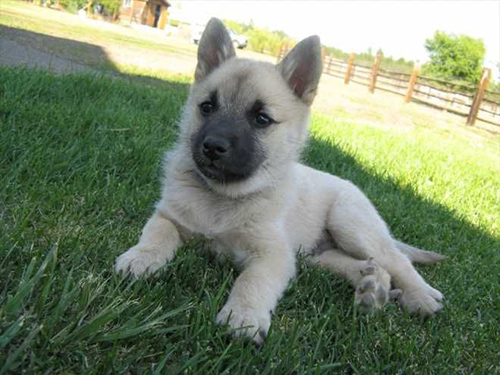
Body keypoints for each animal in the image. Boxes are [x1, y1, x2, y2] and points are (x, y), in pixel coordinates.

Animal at [117, 19, 446, 346]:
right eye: (207, 107)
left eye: (262, 118)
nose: (212, 146)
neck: (224, 198)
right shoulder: (167, 217)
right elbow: (156, 236)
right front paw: (140, 259)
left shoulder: (273, 255)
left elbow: (252, 281)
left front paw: (244, 317)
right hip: (315, 256)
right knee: (364, 265)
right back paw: (371, 285)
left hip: (350, 224)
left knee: (398, 260)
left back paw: (420, 296)